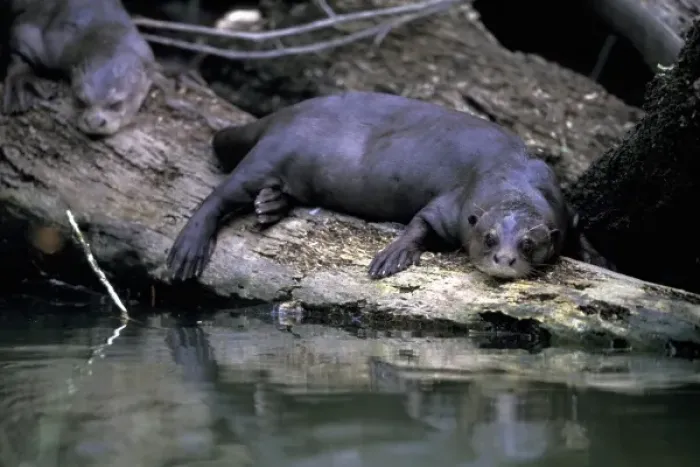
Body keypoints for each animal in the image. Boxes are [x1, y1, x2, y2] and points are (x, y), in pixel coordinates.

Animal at [1, 0, 155, 136]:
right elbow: (23, 39)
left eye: (116, 104)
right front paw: (21, 79)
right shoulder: (54, 43)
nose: (94, 123)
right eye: (80, 101)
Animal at [167, 91, 571, 281]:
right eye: (488, 238)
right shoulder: (453, 206)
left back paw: (269, 205)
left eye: (528, 244)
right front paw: (391, 256)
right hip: (270, 152)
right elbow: (420, 223)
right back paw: (189, 248)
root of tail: (286, 112)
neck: (511, 172)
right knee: (220, 194)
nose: (504, 259)